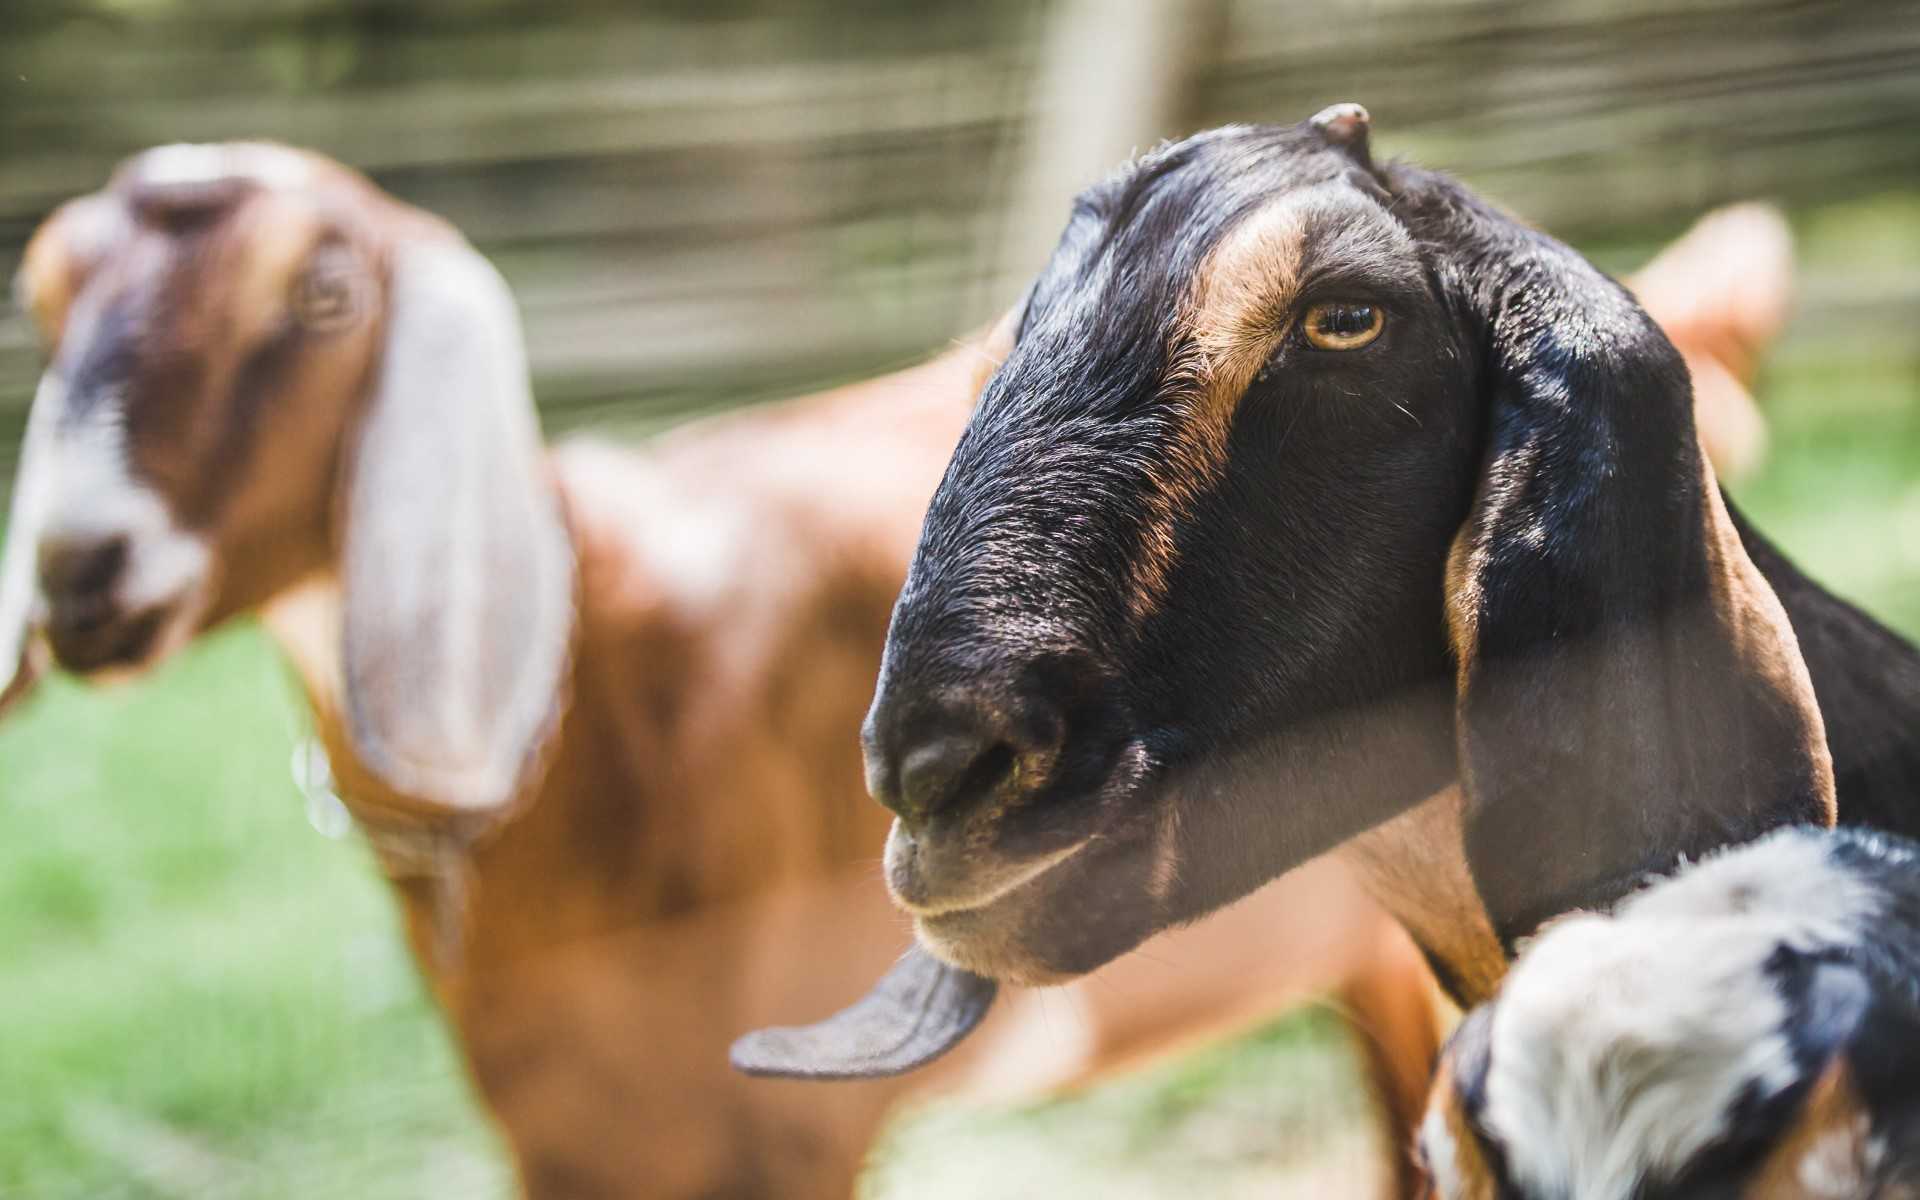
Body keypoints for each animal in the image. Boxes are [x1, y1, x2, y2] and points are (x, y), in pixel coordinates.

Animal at [0, 147, 1443, 1198]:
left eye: (322, 299)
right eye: (48, 298)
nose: (81, 569)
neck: (601, 687)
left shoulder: (796, 1122)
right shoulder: (564, 1131)